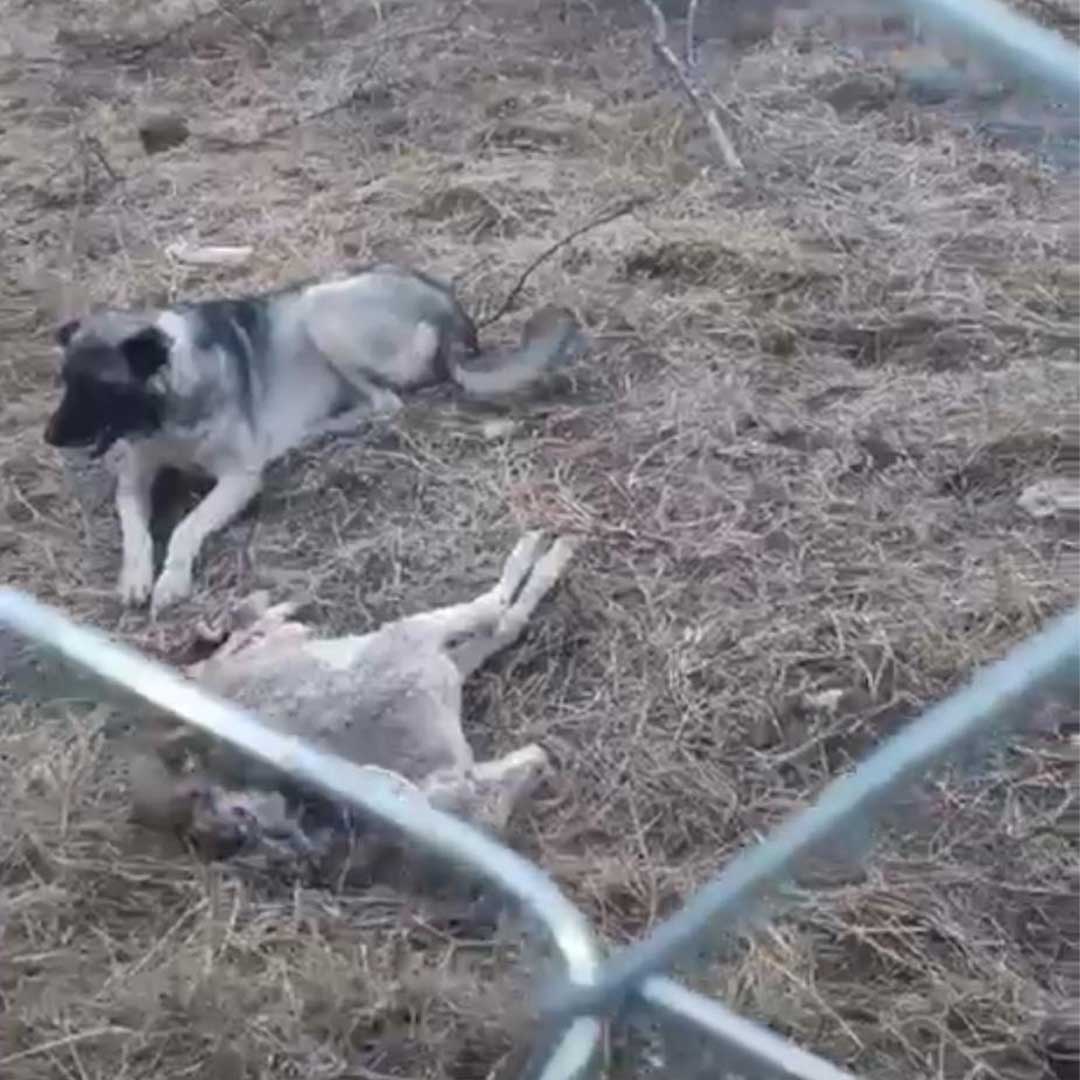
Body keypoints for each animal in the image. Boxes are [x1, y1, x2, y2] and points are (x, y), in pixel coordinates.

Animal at [42, 262, 587, 617]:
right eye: (66, 380)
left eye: (99, 387)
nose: (49, 438)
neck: (169, 403)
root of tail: (457, 320)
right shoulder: (134, 477)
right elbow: (134, 531)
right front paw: (135, 576)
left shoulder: (239, 479)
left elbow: (186, 527)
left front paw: (171, 579)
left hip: (320, 308)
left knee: (386, 405)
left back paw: (314, 431)